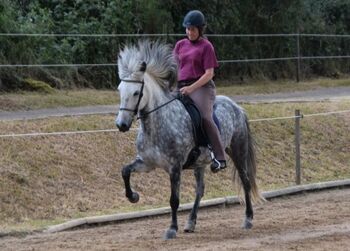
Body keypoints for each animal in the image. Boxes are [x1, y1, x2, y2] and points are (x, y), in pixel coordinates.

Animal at [115, 40, 262, 240]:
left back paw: (248, 219)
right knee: (200, 190)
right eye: (120, 90)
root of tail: (237, 107)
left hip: (237, 151)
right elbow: (125, 171)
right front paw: (133, 196)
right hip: (200, 162)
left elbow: (174, 200)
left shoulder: (175, 167)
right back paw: (191, 222)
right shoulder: (146, 163)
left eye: (137, 93)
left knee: (245, 181)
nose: (121, 125)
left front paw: (171, 229)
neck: (157, 123)